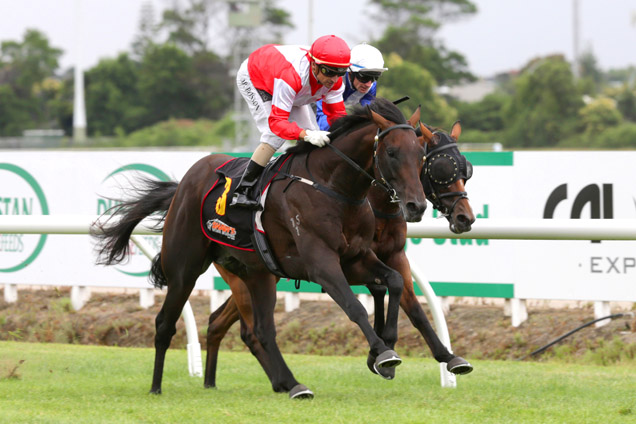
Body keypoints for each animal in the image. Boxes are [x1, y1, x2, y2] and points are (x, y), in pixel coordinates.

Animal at [93, 97, 428, 400]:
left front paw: (387, 346)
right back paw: (156, 387)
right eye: (392, 152)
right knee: (165, 323)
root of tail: (184, 184)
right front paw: (383, 354)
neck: (334, 188)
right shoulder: (322, 265)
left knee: (261, 331)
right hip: (184, 269)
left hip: (257, 274)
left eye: (421, 154)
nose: (417, 205)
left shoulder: (355, 259)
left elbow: (394, 281)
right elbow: (354, 306)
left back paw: (293, 384)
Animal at [201, 121, 474, 390]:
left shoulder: (394, 255)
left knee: (221, 321)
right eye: (440, 168)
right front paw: (381, 352)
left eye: (466, 170)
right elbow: (378, 293)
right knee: (241, 326)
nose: (466, 217)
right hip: (247, 274)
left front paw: (447, 356)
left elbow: (412, 304)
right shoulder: (344, 262)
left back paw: (218, 380)